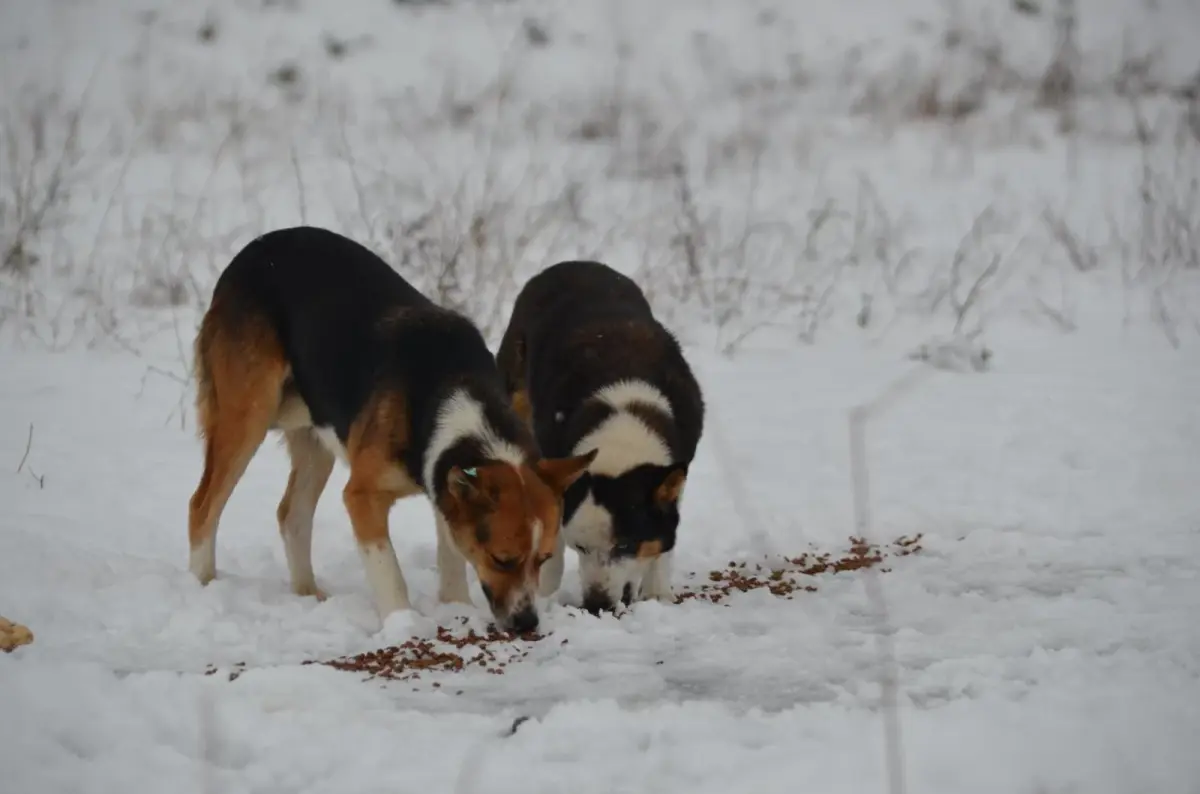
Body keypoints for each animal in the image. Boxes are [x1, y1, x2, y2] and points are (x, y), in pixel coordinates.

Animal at [184, 225, 592, 633]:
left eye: (543, 559)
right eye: (502, 559)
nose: (527, 623)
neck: (450, 391)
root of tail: (252, 250)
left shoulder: (442, 484)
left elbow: (451, 558)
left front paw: (456, 607)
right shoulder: (363, 495)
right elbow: (389, 569)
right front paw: (403, 622)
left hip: (315, 436)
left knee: (292, 515)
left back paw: (308, 594)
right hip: (247, 415)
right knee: (202, 507)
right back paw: (203, 585)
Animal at [494, 261, 700, 614]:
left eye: (626, 545)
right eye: (581, 547)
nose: (596, 606)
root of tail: (572, 264)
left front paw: (658, 593)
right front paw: (546, 593)